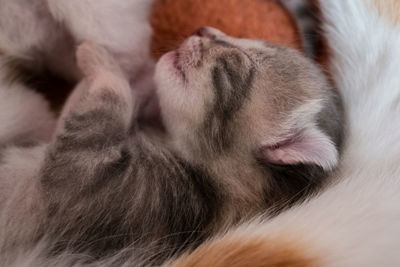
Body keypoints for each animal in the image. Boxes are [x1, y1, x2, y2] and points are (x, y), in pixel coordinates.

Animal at [0, 27, 344, 266]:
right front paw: (137, 77)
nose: (202, 29)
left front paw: (101, 56)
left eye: (232, 65)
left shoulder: (83, 174)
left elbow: (113, 93)